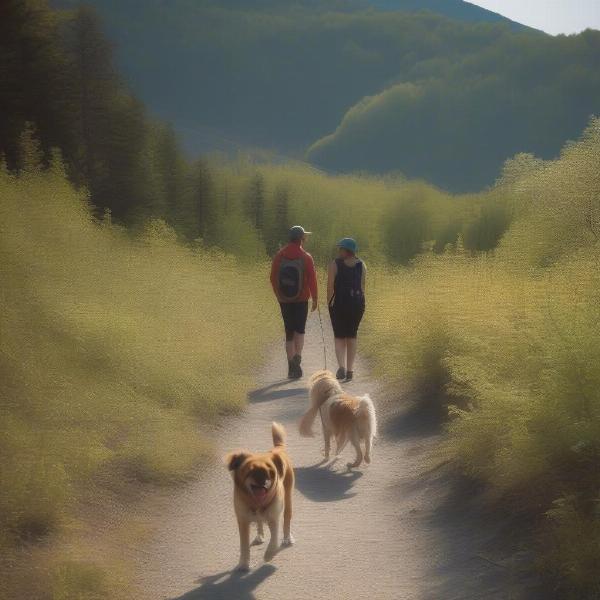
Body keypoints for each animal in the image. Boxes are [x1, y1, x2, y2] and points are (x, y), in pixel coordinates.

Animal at [225, 422, 296, 572]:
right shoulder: (243, 521)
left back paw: (287, 538)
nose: (263, 482)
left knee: (287, 518)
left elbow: (274, 540)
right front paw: (243, 564)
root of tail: (277, 449)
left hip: (288, 498)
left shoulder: (274, 518)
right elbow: (244, 546)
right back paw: (259, 536)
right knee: (258, 522)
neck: (256, 502)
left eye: (270, 471)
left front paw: (269, 555)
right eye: (250, 471)